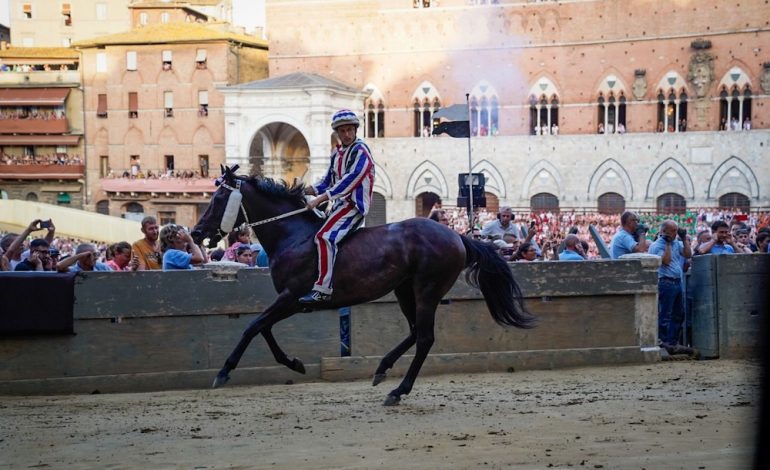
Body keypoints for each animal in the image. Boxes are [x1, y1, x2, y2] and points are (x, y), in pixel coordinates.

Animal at [190, 165, 536, 404]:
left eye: (219, 198)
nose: (196, 233)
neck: (293, 236)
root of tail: (457, 236)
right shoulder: (290, 302)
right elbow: (263, 329)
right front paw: (295, 363)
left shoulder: (292, 298)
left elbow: (253, 327)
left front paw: (224, 371)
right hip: (404, 290)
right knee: (415, 333)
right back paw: (382, 368)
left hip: (427, 291)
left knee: (425, 338)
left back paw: (398, 390)